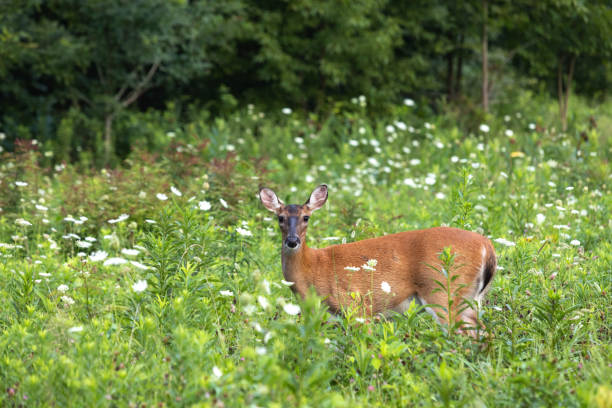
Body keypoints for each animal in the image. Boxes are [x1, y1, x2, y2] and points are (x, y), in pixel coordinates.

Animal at [258, 183, 498, 336]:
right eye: (280, 218)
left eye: (306, 217)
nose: (292, 241)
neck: (312, 269)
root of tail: (487, 247)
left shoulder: (356, 306)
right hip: (470, 298)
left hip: (444, 292)